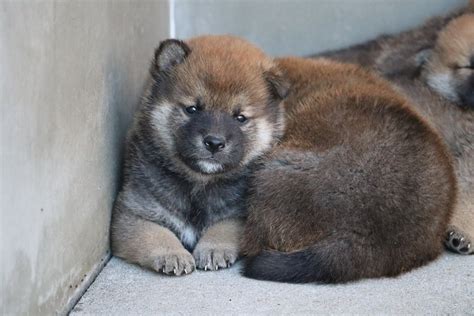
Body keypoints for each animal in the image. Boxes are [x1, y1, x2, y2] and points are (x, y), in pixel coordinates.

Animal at [112, 35, 288, 276]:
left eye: (240, 117)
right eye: (193, 109)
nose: (214, 142)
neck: (199, 184)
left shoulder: (241, 216)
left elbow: (224, 227)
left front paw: (213, 248)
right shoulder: (132, 214)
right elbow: (155, 234)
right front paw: (172, 254)